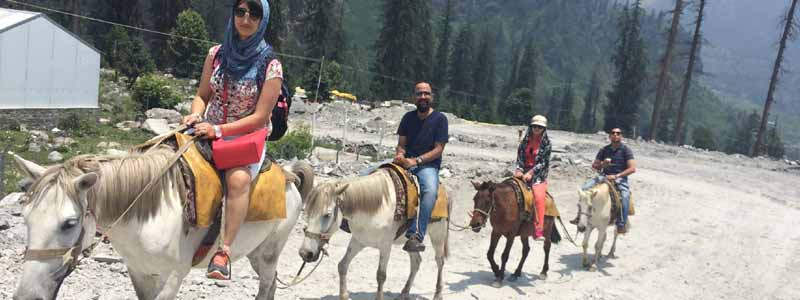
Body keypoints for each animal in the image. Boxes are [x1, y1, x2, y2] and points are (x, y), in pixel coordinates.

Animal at [13, 149, 312, 300]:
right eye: (25, 217)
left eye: (69, 223)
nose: (27, 296)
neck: (145, 215)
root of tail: (289, 175)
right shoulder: (139, 272)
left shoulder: (171, 278)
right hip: (255, 254)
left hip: (269, 252)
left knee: (267, 285)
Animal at [300, 169, 450, 300]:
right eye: (306, 212)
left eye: (327, 215)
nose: (305, 253)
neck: (377, 206)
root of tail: (444, 190)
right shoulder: (358, 241)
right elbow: (342, 265)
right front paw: (344, 296)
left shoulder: (385, 246)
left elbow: (381, 275)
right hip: (409, 243)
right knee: (416, 262)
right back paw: (404, 293)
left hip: (438, 234)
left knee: (440, 261)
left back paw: (438, 294)